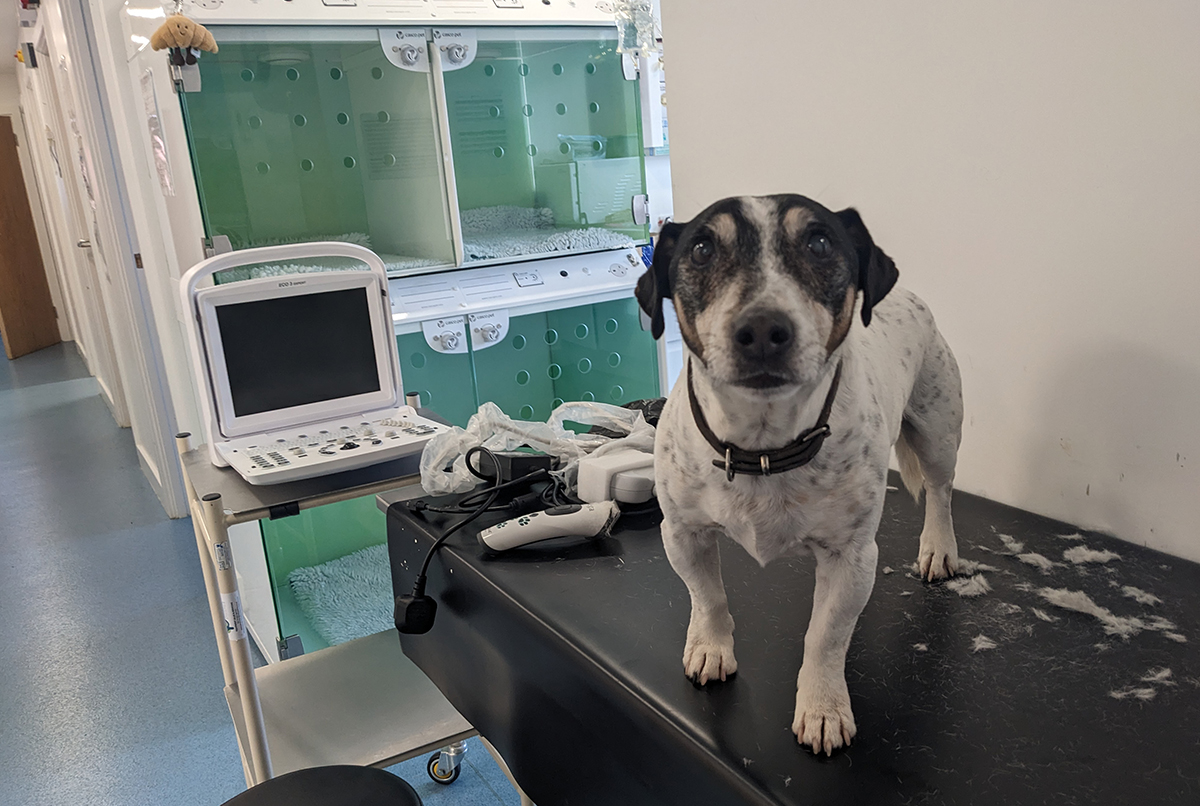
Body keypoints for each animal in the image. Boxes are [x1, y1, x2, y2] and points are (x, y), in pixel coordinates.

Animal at [638, 193, 964, 758]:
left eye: (819, 242)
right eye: (701, 249)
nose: (762, 330)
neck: (764, 446)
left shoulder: (851, 556)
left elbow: (826, 636)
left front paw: (823, 706)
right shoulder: (682, 533)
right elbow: (708, 596)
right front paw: (710, 648)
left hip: (939, 433)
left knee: (941, 493)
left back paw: (938, 548)